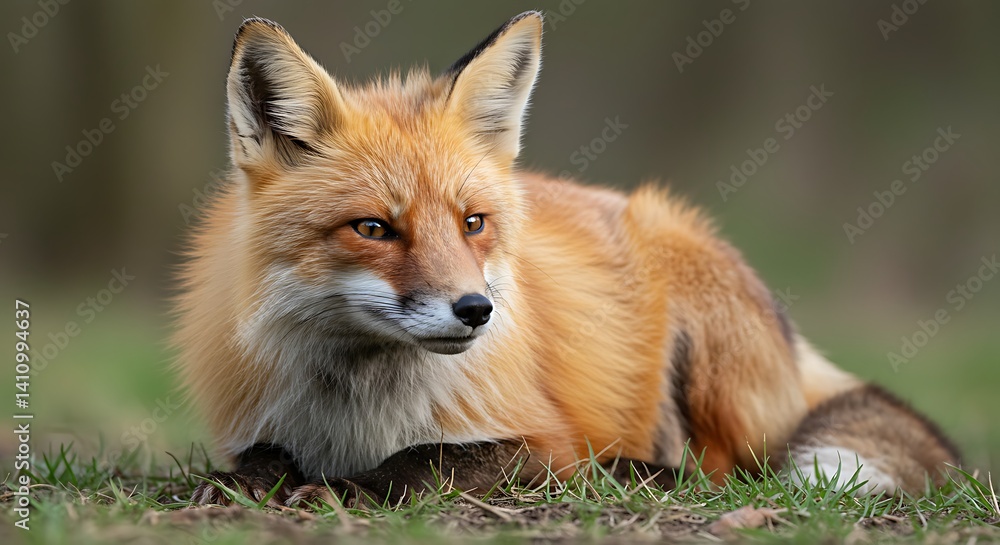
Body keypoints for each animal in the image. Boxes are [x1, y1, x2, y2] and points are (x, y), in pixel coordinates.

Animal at [179, 12, 960, 508]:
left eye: (473, 224)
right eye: (373, 228)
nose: (477, 310)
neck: (356, 406)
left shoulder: (542, 440)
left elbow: (424, 460)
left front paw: (346, 489)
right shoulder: (257, 425)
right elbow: (256, 459)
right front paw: (242, 486)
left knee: (729, 468)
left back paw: (630, 472)